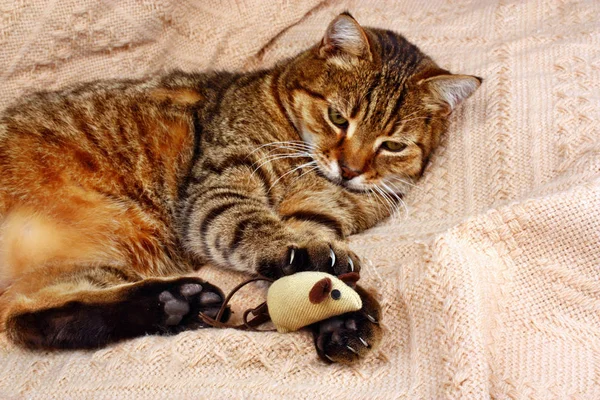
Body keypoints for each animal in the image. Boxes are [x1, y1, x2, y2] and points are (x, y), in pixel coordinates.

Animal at [0, 12, 480, 362]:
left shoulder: (319, 217)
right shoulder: (219, 190)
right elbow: (260, 232)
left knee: (29, 318)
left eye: (392, 145)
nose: (349, 169)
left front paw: (341, 319)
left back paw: (175, 302)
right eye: (338, 118)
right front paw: (334, 298)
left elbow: (311, 272)